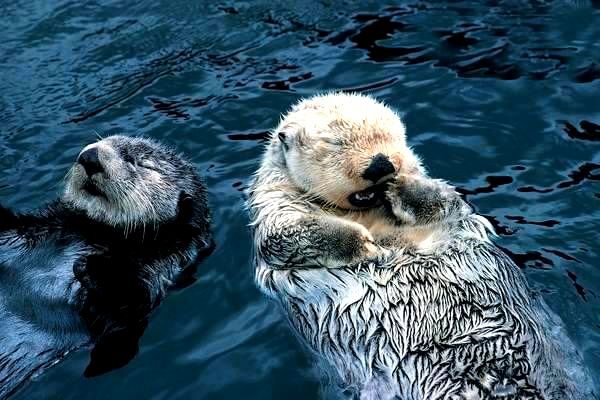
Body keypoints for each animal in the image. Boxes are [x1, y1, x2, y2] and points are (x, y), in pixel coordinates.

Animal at [0, 136, 212, 398]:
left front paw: (91, 266)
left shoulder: (157, 273)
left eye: (141, 163)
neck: (96, 232)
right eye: (103, 141)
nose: (90, 157)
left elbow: (122, 313)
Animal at [248, 92, 596, 398]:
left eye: (390, 134)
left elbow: (446, 201)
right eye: (335, 143)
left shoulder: (450, 209)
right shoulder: (274, 209)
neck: (366, 213)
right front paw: (366, 246)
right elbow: (285, 236)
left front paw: (401, 188)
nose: (381, 165)